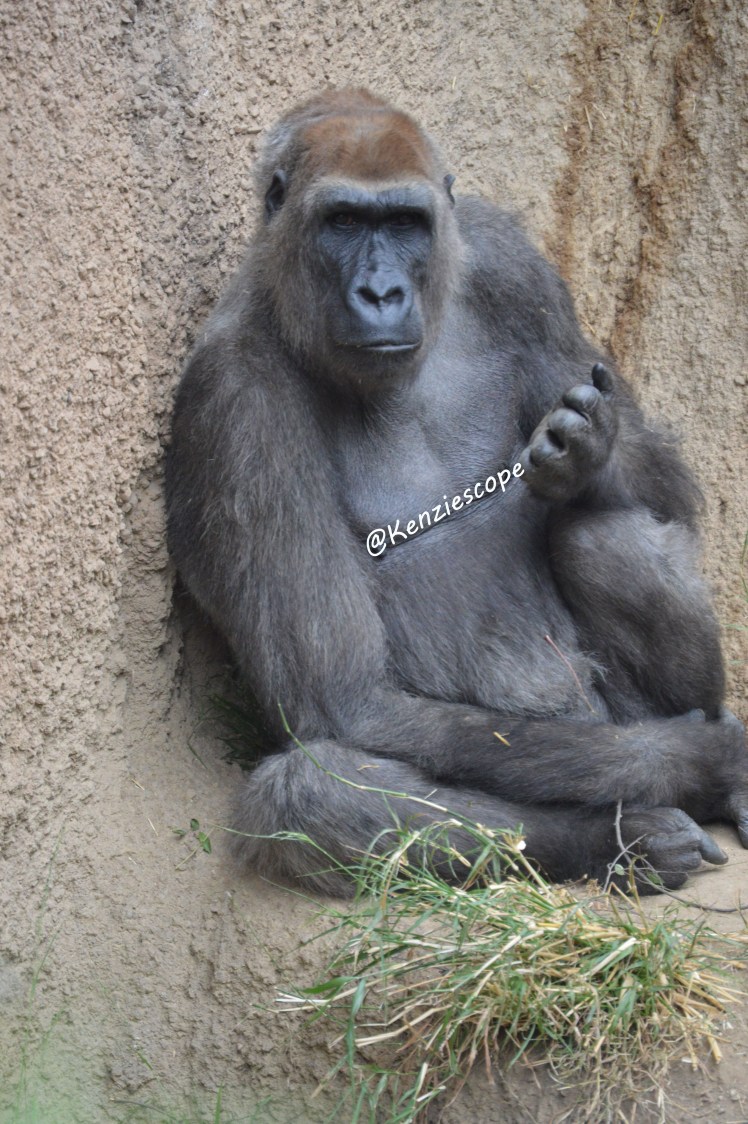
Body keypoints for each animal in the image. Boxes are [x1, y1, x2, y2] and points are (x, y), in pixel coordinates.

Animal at [166, 88, 748, 896]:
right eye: (342, 222)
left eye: (406, 223)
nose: (382, 292)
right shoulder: (232, 398)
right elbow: (348, 703)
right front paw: (701, 762)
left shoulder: (511, 262)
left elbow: (666, 487)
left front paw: (592, 452)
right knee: (309, 789)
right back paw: (621, 836)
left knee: (604, 533)